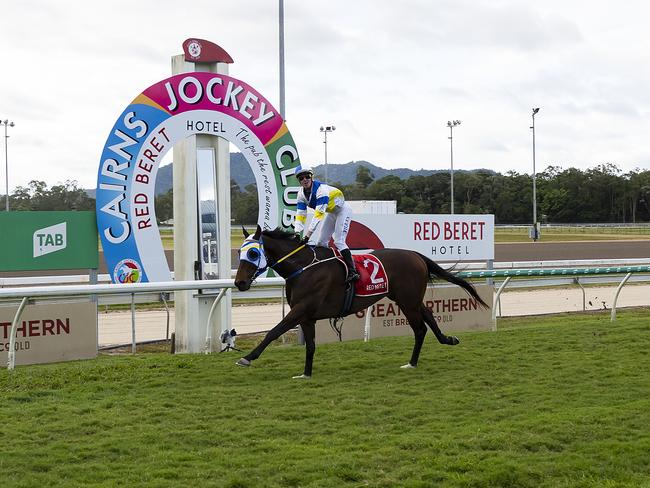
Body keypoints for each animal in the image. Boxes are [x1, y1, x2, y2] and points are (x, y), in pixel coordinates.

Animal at [233, 225, 486, 378]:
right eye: (239, 253)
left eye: (253, 253)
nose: (239, 283)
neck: (303, 268)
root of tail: (415, 254)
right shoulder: (306, 316)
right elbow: (311, 345)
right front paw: (306, 373)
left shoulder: (300, 310)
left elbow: (273, 332)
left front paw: (247, 358)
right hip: (409, 298)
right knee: (430, 317)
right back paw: (448, 339)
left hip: (407, 301)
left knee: (420, 328)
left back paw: (412, 362)